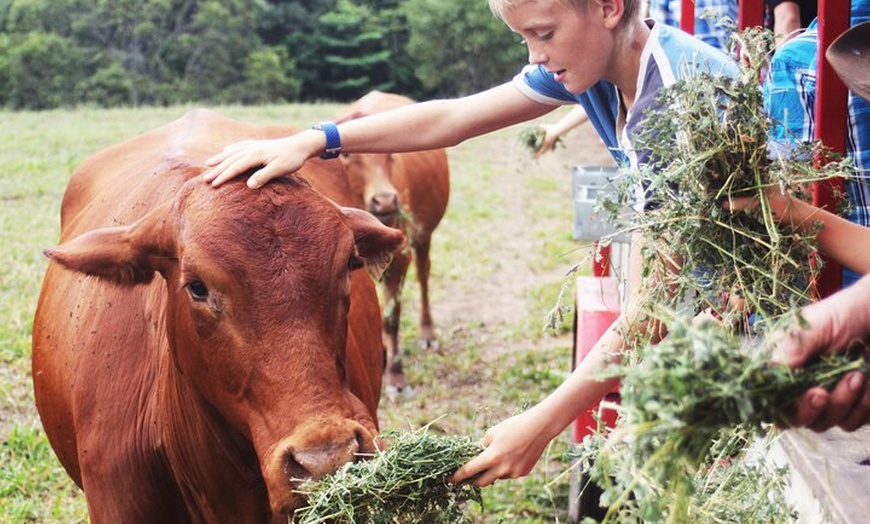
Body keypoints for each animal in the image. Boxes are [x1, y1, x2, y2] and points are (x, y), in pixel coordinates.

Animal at [338, 91, 454, 392]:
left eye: (390, 154)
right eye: (346, 153)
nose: (386, 200)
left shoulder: (400, 254)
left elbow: (391, 318)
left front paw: (395, 374)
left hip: (423, 235)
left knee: (423, 274)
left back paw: (427, 333)